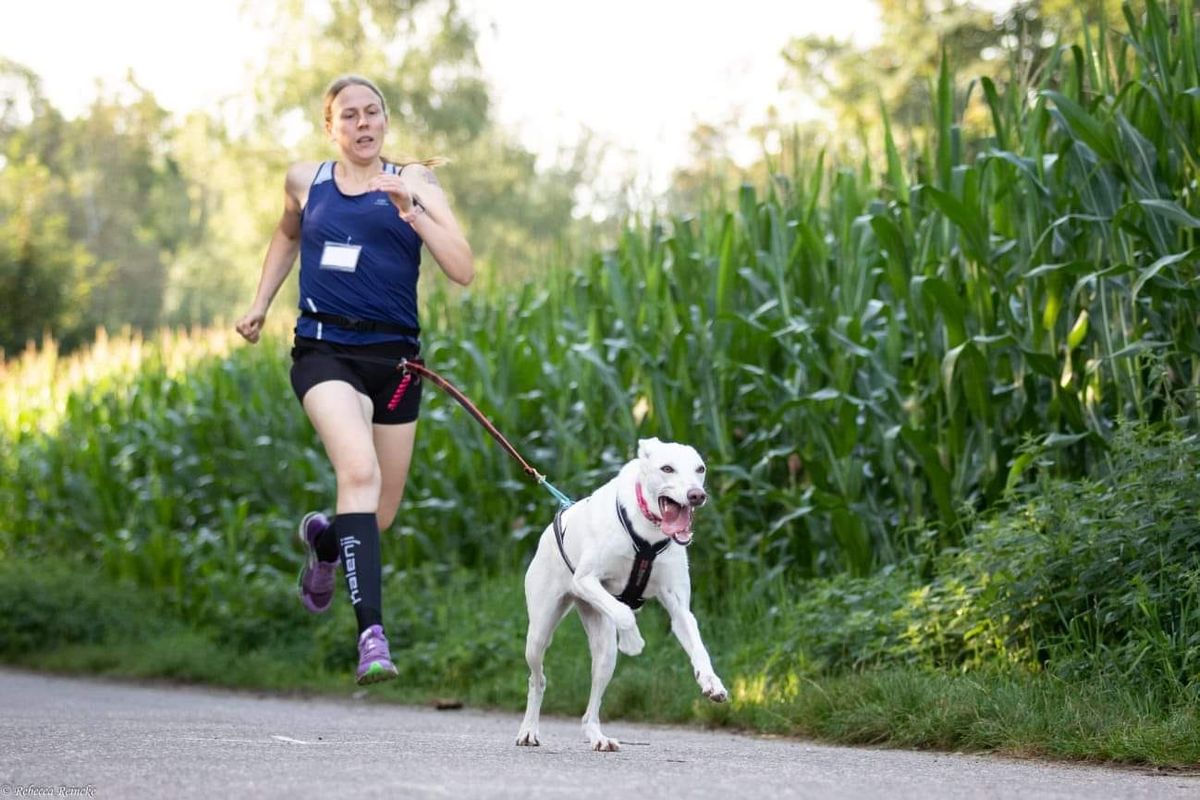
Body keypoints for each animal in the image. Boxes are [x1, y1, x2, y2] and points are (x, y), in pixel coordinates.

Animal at [513, 438, 724, 753]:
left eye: (700, 469)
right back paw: (528, 730)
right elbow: (624, 612)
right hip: (539, 633)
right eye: (667, 468)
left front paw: (711, 683)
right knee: (537, 679)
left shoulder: (679, 609)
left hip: (603, 652)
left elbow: (698, 646)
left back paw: (598, 737)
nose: (696, 495)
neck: (648, 533)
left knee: (590, 708)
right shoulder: (585, 580)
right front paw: (633, 641)